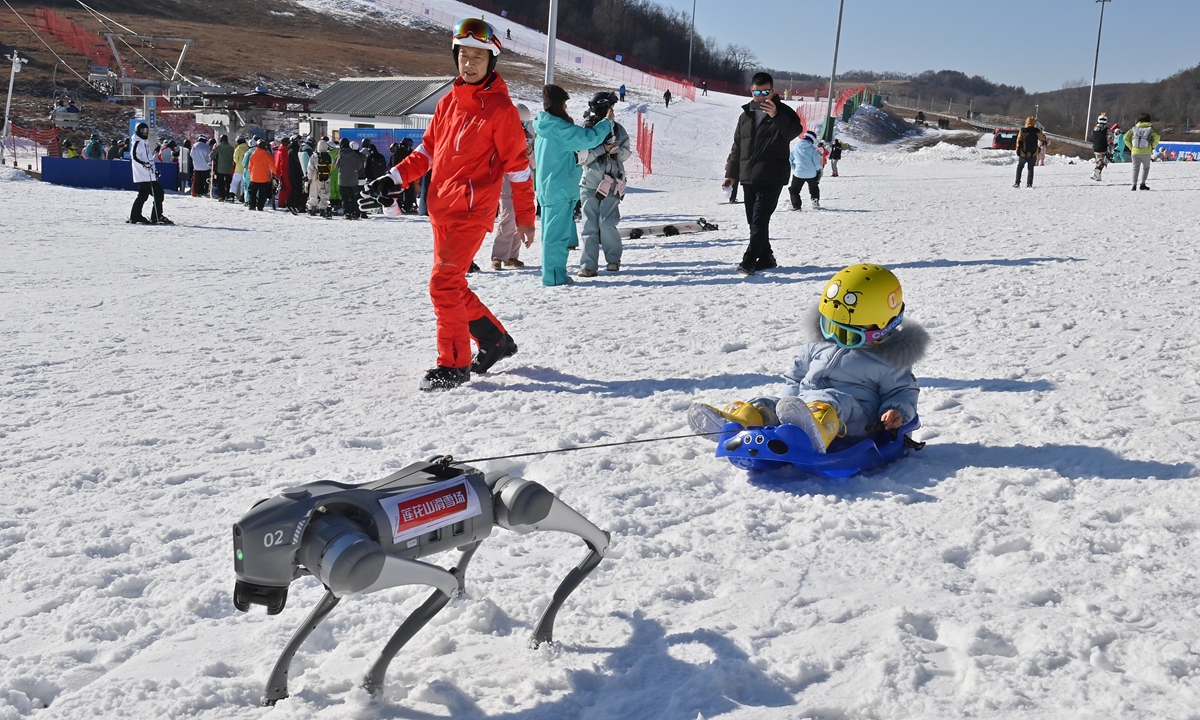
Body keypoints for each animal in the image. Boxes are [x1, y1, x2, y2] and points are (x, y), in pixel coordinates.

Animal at [232, 458, 609, 705]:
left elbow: (442, 582)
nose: (249, 596)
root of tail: (481, 482)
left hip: (512, 506)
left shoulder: (354, 560)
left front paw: (370, 689)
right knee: (485, 536)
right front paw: (275, 692)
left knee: (532, 502)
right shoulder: (342, 574)